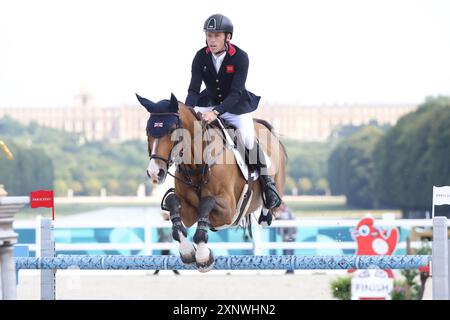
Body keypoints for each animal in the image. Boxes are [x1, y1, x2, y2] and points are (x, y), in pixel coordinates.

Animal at [135, 93, 286, 272]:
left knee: (271, 198)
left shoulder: (228, 211)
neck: (197, 164)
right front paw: (187, 251)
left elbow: (206, 202)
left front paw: (203, 256)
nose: (154, 173)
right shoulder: (188, 213)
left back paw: (268, 207)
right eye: (147, 130)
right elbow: (172, 203)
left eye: (172, 130)